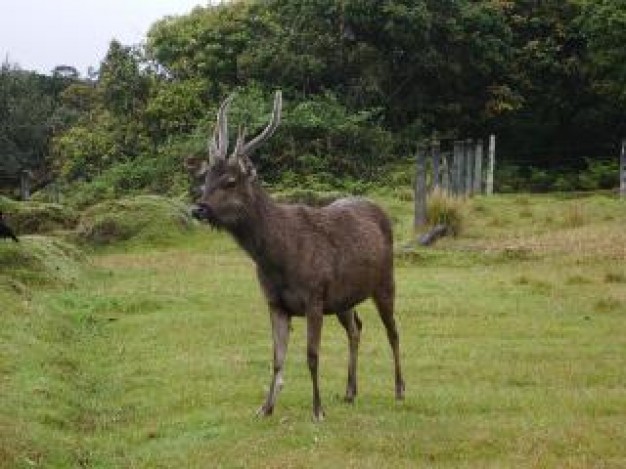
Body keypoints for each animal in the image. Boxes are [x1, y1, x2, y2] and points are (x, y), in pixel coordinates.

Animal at [186, 91, 404, 420]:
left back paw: (400, 390)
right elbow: (276, 357)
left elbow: (312, 355)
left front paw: (317, 410)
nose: (198, 209)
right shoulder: (275, 302)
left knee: (394, 332)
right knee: (356, 328)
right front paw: (265, 408)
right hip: (343, 299)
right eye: (205, 179)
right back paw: (350, 391)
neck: (278, 260)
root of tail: (381, 211)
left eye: (230, 181)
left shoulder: (314, 296)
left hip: (385, 281)